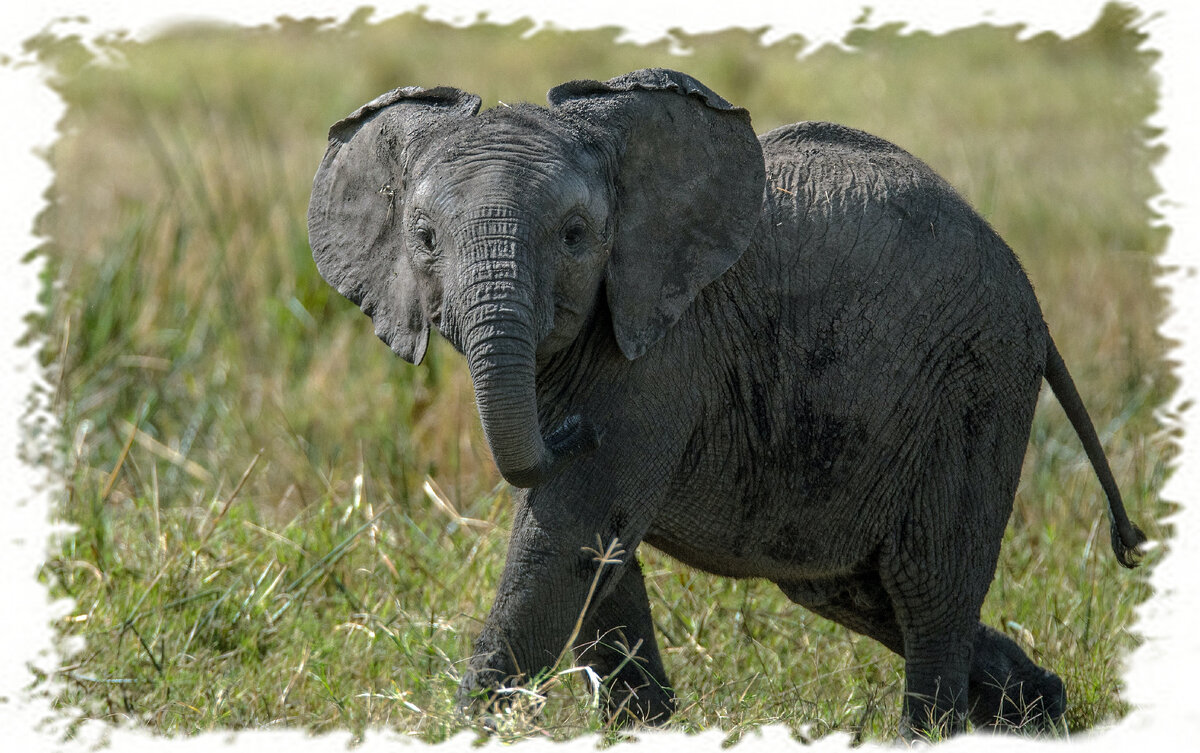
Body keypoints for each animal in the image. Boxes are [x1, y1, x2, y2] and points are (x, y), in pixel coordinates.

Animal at [307, 67, 1142, 738]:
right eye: (424, 238)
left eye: (576, 235)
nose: (567, 429)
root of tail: (1030, 294)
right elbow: (597, 550)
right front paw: (643, 728)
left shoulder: (658, 354)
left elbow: (570, 527)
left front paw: (467, 729)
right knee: (855, 586)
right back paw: (1041, 709)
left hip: (976, 381)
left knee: (929, 583)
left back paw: (936, 731)